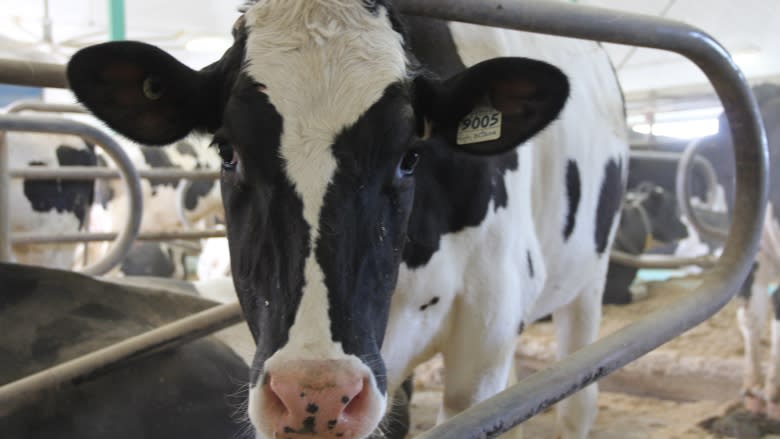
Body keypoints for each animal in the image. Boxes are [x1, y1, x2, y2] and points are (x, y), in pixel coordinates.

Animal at [65, 1, 628, 438]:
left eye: (409, 156)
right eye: (227, 152)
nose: (315, 393)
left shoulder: (485, 336)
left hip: (588, 279)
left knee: (579, 397)